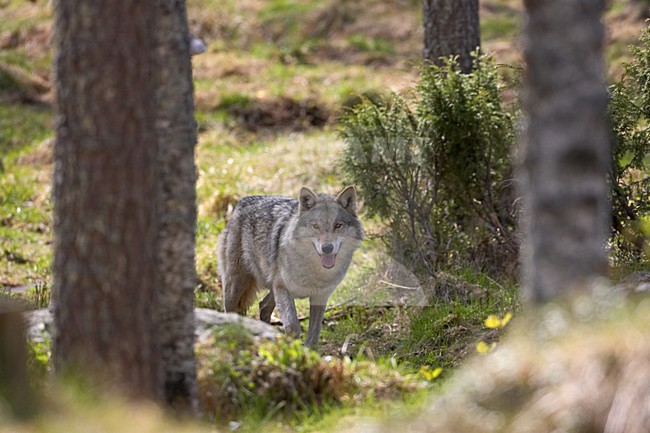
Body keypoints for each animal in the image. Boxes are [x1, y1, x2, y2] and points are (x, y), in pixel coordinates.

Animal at [215, 186, 362, 348]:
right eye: (315, 226)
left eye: (338, 225)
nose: (327, 248)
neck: (314, 272)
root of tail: (242, 201)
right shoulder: (283, 289)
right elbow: (293, 326)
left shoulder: (320, 297)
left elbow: (315, 331)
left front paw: (309, 351)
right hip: (237, 287)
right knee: (231, 310)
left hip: (272, 289)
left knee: (263, 305)